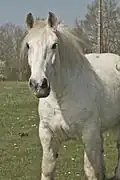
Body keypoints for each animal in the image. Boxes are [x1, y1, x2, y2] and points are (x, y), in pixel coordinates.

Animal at [21, 11, 120, 179]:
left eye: (54, 45)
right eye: (28, 45)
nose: (39, 85)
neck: (61, 97)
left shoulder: (89, 135)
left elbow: (92, 171)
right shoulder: (47, 135)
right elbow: (47, 169)